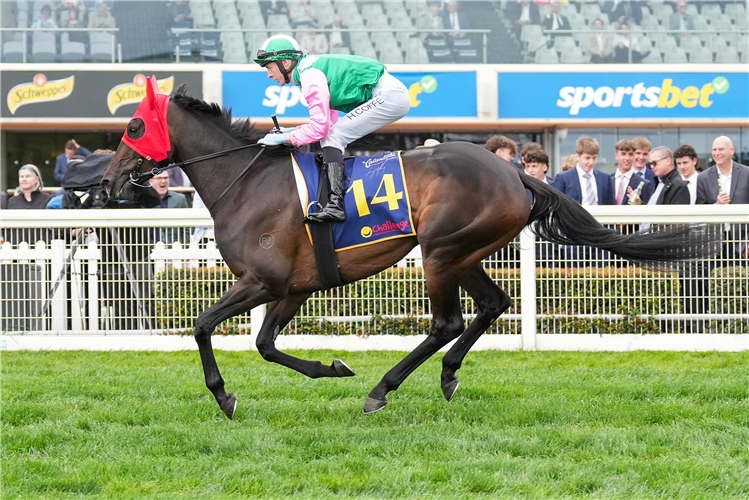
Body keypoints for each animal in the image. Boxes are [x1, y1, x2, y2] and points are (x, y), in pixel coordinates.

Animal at [102, 84, 716, 420]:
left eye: (133, 125)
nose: (107, 183)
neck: (246, 181)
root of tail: (516, 172)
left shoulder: (263, 281)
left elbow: (205, 325)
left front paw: (224, 396)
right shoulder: (292, 287)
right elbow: (266, 344)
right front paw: (332, 366)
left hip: (441, 251)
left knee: (448, 321)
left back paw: (383, 389)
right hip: (464, 252)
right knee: (493, 304)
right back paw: (446, 375)